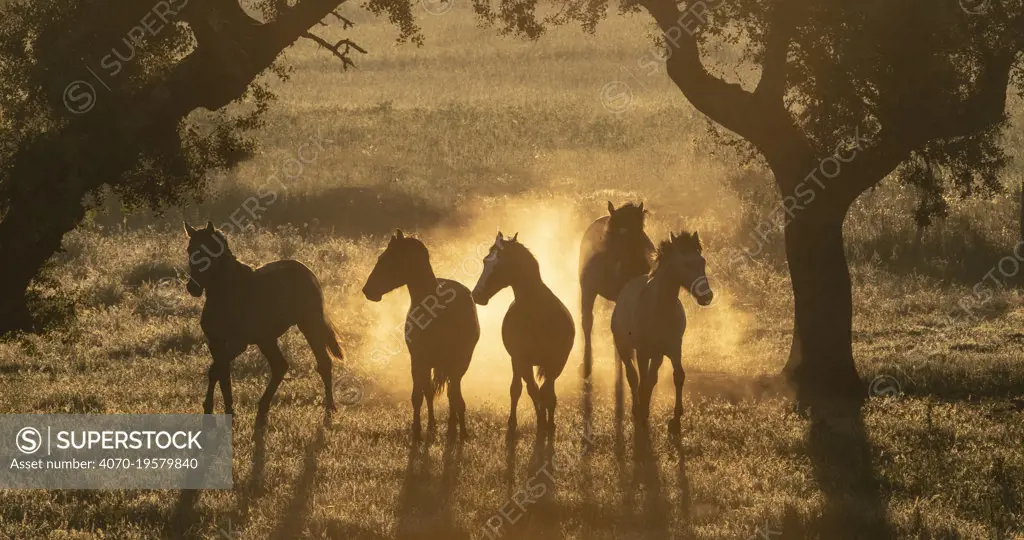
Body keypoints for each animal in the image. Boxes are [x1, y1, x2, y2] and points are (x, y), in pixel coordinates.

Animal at [184, 222, 344, 428]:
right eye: (190, 250)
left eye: (211, 250)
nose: (193, 288)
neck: (229, 293)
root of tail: (306, 271)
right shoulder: (216, 342)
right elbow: (222, 373)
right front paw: (221, 411)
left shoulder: (238, 343)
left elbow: (216, 370)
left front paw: (214, 410)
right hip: (266, 339)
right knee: (280, 366)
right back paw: (263, 406)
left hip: (309, 324)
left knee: (323, 362)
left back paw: (330, 407)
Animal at [362, 230, 481, 442]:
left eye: (387, 259)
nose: (368, 290)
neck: (437, 313)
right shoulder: (418, 360)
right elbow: (418, 396)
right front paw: (417, 430)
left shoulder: (459, 365)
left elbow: (456, 398)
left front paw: (461, 432)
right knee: (429, 392)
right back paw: (432, 425)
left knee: (449, 393)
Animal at [471, 233, 577, 448]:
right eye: (486, 260)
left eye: (500, 264)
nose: (476, 295)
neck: (536, 313)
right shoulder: (520, 359)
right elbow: (524, 390)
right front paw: (529, 422)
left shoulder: (556, 363)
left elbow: (547, 394)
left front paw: (549, 424)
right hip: (520, 363)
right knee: (524, 389)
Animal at [606, 231, 712, 434]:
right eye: (686, 263)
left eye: (702, 261)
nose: (707, 296)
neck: (660, 310)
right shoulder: (642, 352)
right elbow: (641, 380)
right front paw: (642, 416)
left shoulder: (674, 349)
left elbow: (678, 376)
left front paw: (676, 420)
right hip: (625, 348)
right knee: (633, 377)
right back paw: (637, 409)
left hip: (657, 355)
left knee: (651, 379)